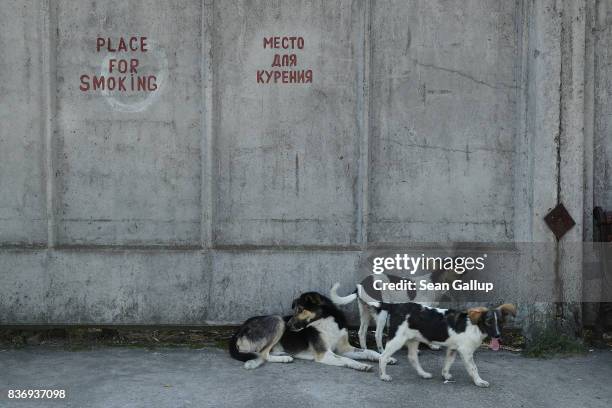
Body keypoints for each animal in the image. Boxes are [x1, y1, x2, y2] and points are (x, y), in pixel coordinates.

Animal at [227, 292, 394, 372]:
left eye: (300, 309)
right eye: (295, 309)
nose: (288, 325)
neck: (326, 320)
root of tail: (239, 330)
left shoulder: (344, 349)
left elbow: (369, 352)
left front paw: (386, 358)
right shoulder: (324, 354)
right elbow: (347, 360)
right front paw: (360, 365)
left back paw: (282, 353)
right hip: (277, 320)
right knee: (262, 354)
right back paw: (284, 358)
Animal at [378, 302, 516, 386]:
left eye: (501, 322)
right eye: (488, 322)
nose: (497, 336)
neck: (476, 327)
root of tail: (395, 305)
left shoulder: (452, 348)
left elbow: (448, 363)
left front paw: (445, 375)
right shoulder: (466, 351)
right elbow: (473, 368)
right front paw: (479, 381)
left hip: (413, 339)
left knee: (412, 357)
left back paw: (423, 374)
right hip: (397, 339)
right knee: (383, 357)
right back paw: (383, 376)